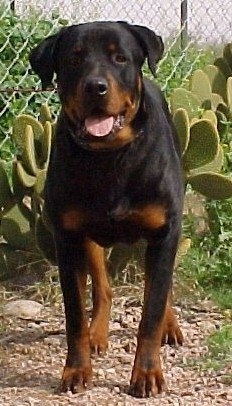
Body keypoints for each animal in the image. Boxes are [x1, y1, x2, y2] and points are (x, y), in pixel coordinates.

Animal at [29, 20, 185, 398]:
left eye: (120, 58)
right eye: (74, 58)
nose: (95, 87)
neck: (110, 157)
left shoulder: (163, 231)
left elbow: (151, 310)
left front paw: (147, 373)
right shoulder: (68, 238)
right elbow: (74, 314)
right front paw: (76, 370)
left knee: (161, 288)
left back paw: (170, 326)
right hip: (89, 237)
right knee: (103, 287)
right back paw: (97, 333)